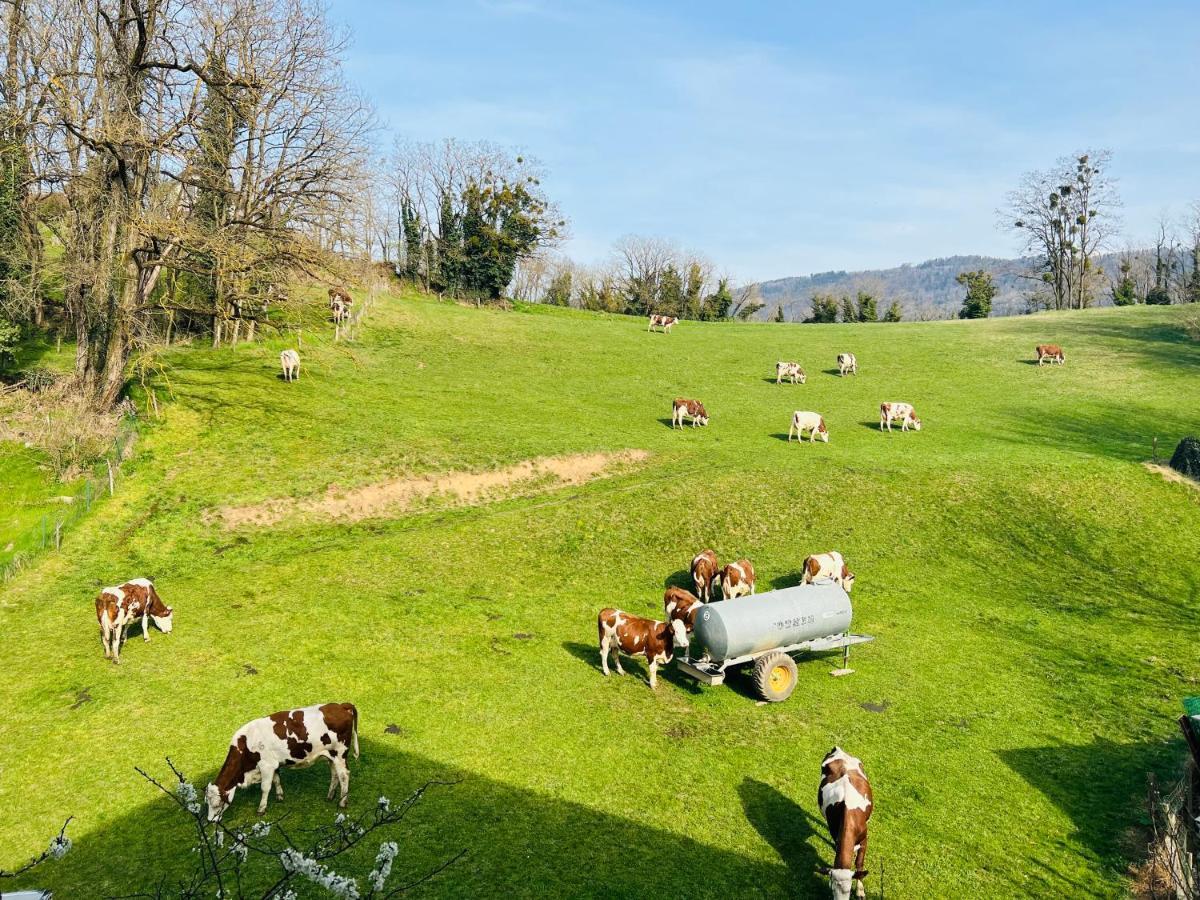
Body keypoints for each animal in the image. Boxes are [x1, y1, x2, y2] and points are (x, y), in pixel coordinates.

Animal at [204, 705, 360, 825]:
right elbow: (276, 780)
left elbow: (265, 788)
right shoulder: (273, 764)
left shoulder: (266, 766)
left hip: (340, 754)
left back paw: (342, 802)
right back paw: (330, 795)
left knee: (344, 775)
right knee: (335, 774)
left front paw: (261, 809)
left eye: (217, 804)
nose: (210, 820)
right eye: (207, 803)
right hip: (331, 755)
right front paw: (280, 796)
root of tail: (341, 705)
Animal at [816, 748, 873, 900]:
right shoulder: (835, 833)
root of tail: (839, 750)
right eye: (832, 889)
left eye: (848, 890)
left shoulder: (864, 839)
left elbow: (859, 863)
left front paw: (860, 890)